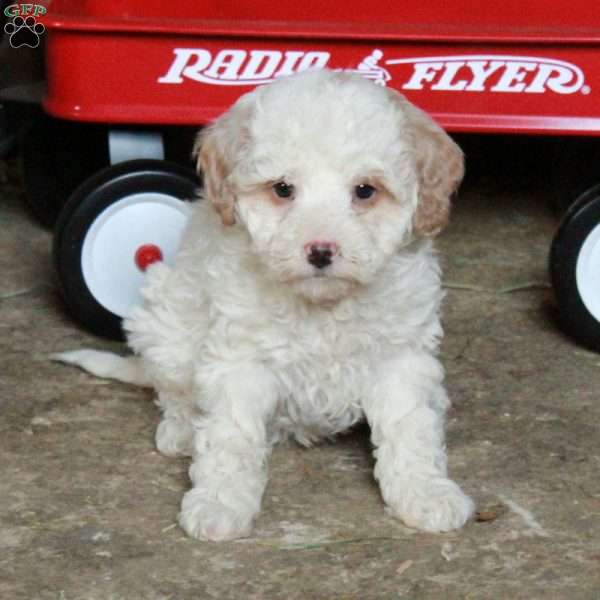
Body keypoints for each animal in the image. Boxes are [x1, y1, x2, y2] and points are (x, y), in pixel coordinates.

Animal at [55, 69, 474, 540]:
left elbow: (410, 426)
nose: (320, 251)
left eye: (365, 191)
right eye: (283, 189)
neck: (322, 306)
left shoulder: (400, 357)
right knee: (174, 390)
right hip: (163, 315)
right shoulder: (239, 360)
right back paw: (181, 430)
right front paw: (219, 503)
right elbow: (231, 435)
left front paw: (425, 492)